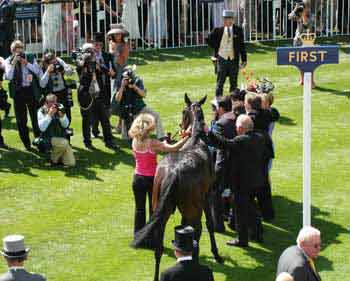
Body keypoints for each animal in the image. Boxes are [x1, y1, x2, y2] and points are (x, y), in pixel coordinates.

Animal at [131, 93, 224, 280]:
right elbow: (209, 224)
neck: (195, 141)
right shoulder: (207, 195)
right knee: (197, 229)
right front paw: (216, 253)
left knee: (159, 245)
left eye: (182, 112)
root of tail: (173, 172)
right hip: (193, 207)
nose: (181, 126)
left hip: (160, 207)